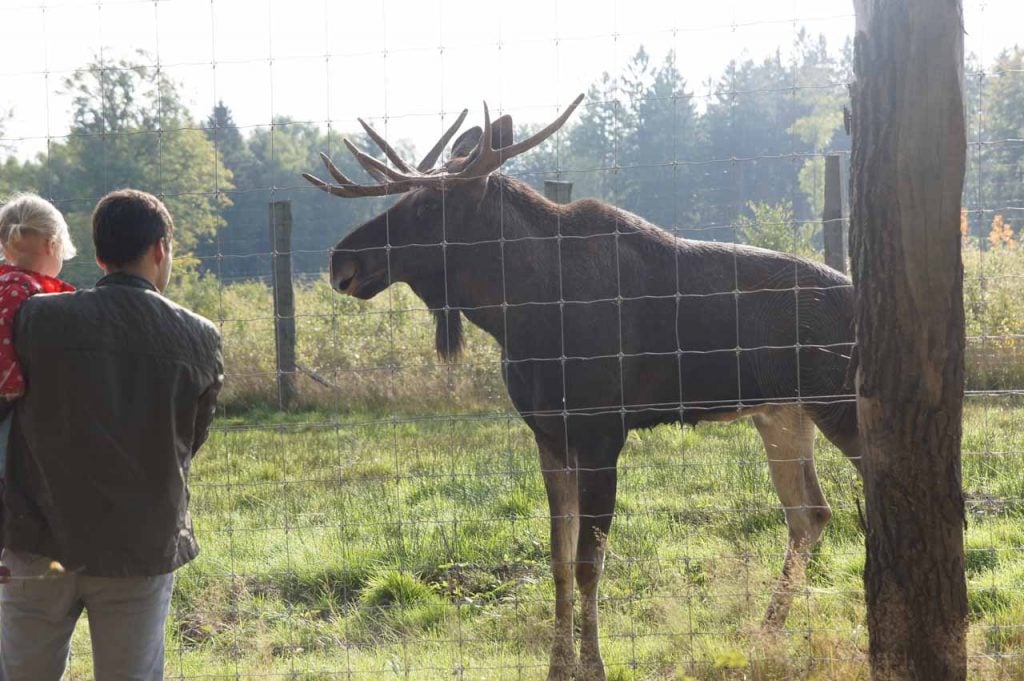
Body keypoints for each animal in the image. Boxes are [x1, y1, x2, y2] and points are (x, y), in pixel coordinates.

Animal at [305, 95, 864, 679]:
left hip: (839, 405)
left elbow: (589, 563)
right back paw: (765, 635)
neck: (521, 314)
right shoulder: (550, 436)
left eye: (426, 207)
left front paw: (593, 663)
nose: (342, 262)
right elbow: (557, 557)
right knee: (810, 513)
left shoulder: (601, 434)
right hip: (782, 412)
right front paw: (558, 663)